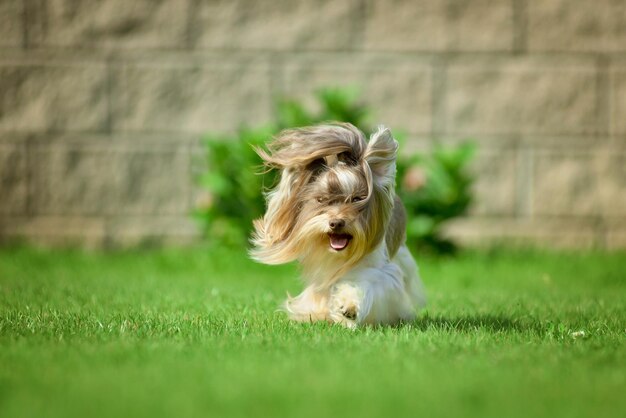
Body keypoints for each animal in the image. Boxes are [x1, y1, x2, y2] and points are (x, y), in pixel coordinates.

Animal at [249, 122, 424, 328]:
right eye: (321, 199)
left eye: (357, 199)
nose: (336, 222)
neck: (340, 256)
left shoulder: (383, 273)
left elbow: (366, 284)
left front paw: (349, 308)